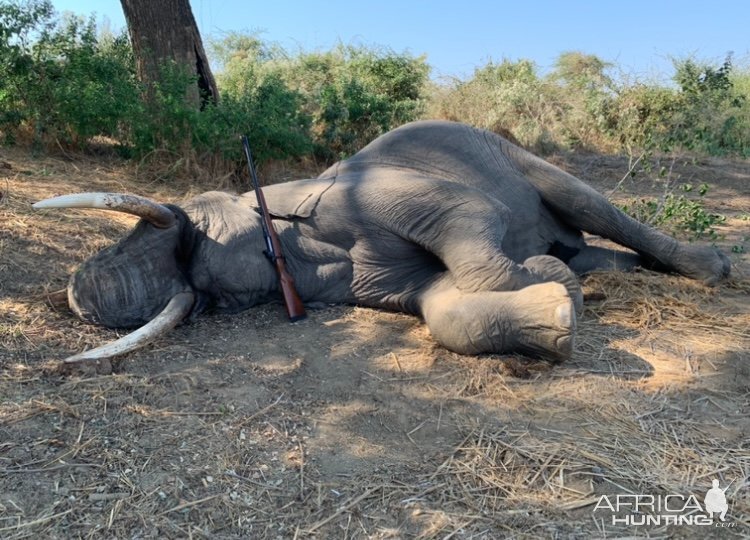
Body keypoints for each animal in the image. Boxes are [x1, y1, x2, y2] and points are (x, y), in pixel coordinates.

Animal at [32, 119, 732, 362]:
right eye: (212, 304)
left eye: (194, 226)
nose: (72, 295)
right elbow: (439, 308)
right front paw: (559, 308)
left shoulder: (367, 193)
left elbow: (464, 216)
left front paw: (546, 281)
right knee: (594, 248)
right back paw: (590, 271)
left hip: (514, 155)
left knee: (596, 207)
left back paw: (715, 269)